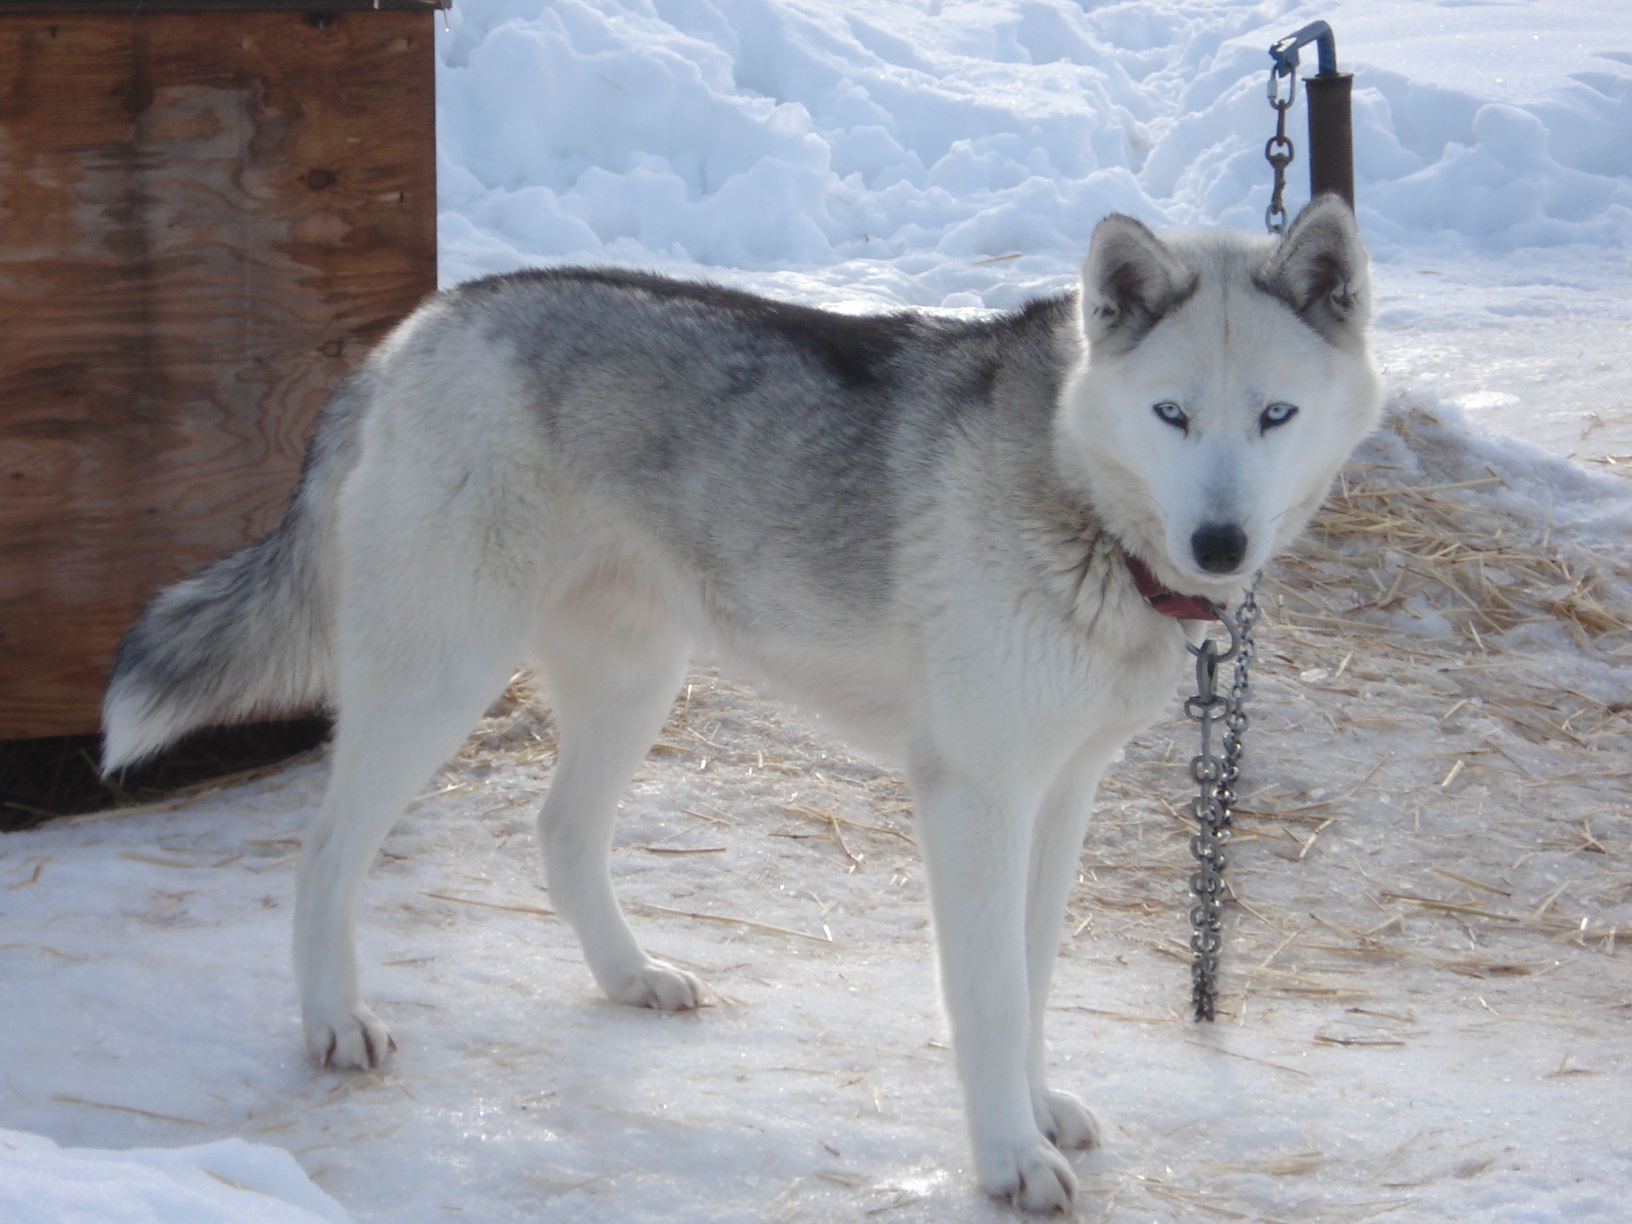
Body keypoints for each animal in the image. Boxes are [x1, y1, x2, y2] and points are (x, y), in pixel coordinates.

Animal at [105, 196, 1377, 1214]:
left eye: (1274, 416)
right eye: (1172, 416)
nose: (1222, 542)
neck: (1079, 499)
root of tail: (415, 330)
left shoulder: (1059, 794)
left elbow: (1033, 979)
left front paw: (1037, 1109)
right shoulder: (976, 800)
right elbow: (992, 996)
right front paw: (1008, 1160)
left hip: (633, 681)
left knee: (560, 834)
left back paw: (628, 977)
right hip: (440, 680)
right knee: (325, 854)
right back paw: (333, 1022)